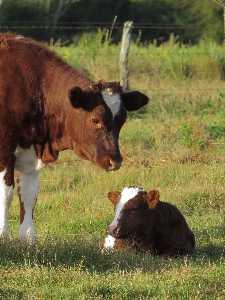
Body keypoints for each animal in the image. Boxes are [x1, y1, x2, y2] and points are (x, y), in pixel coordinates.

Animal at [0, 32, 149, 244]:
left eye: (122, 120)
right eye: (95, 120)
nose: (115, 161)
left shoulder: (31, 153)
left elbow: (29, 196)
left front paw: (27, 240)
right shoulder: (5, 148)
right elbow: (6, 194)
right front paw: (3, 235)